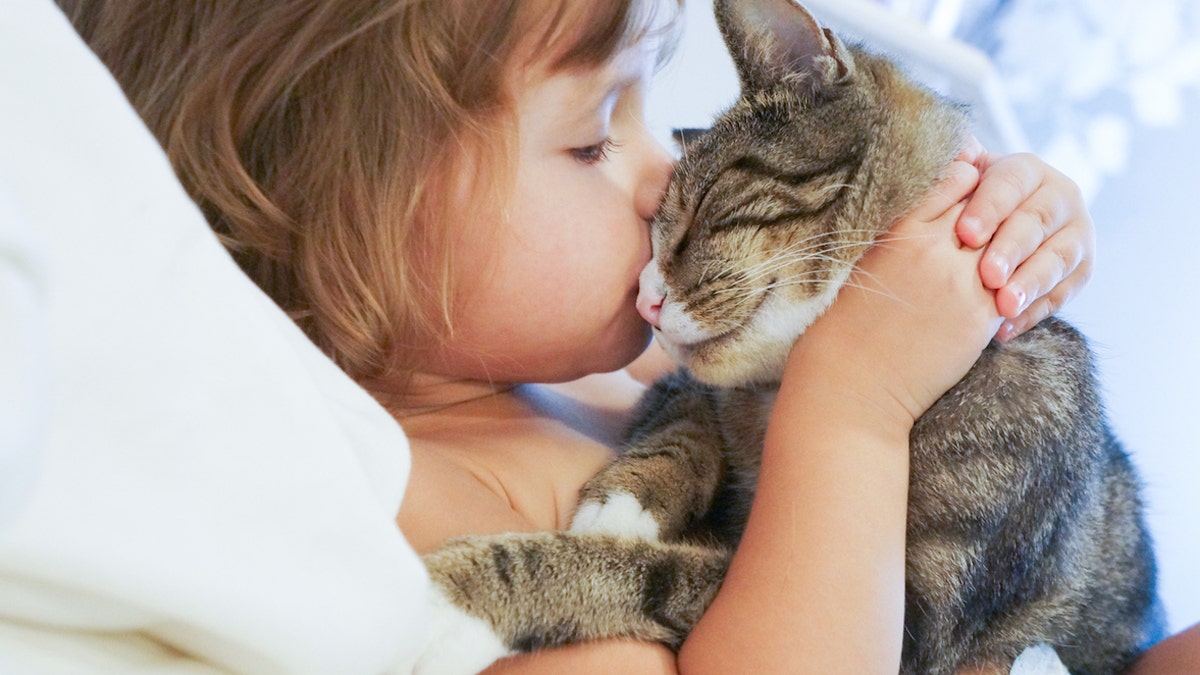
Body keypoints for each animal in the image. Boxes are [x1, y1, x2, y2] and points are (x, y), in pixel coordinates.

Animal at [415, 1, 1161, 672]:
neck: (780, 392)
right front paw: (625, 501)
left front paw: (456, 599)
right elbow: (687, 421)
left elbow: (648, 574)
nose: (644, 297)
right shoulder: (679, 382)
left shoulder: (914, 623)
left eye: (702, 206)